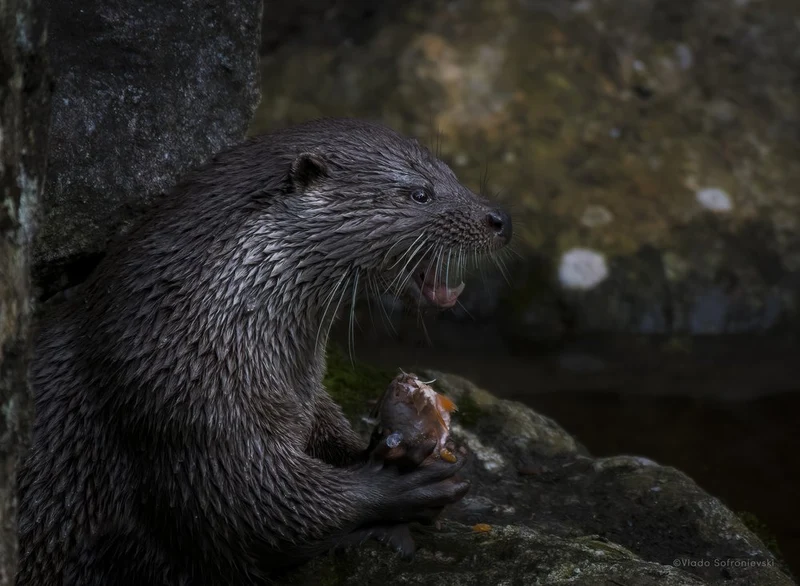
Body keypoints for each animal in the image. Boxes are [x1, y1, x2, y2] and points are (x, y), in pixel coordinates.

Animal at [17, 118, 512, 585]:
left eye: (453, 175)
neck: (197, 322)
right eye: (420, 194)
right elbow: (258, 508)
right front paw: (400, 491)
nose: (499, 219)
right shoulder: (181, 404)